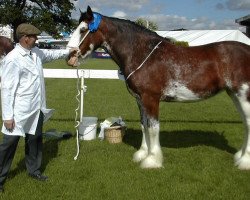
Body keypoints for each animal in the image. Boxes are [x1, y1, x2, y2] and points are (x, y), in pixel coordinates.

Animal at [66, 5, 250, 170]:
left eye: (83, 29)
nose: (69, 57)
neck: (142, 54)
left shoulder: (151, 99)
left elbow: (153, 128)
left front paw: (152, 160)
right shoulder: (140, 100)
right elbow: (144, 125)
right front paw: (142, 154)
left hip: (243, 95)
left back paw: (244, 161)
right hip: (234, 95)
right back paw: (239, 157)